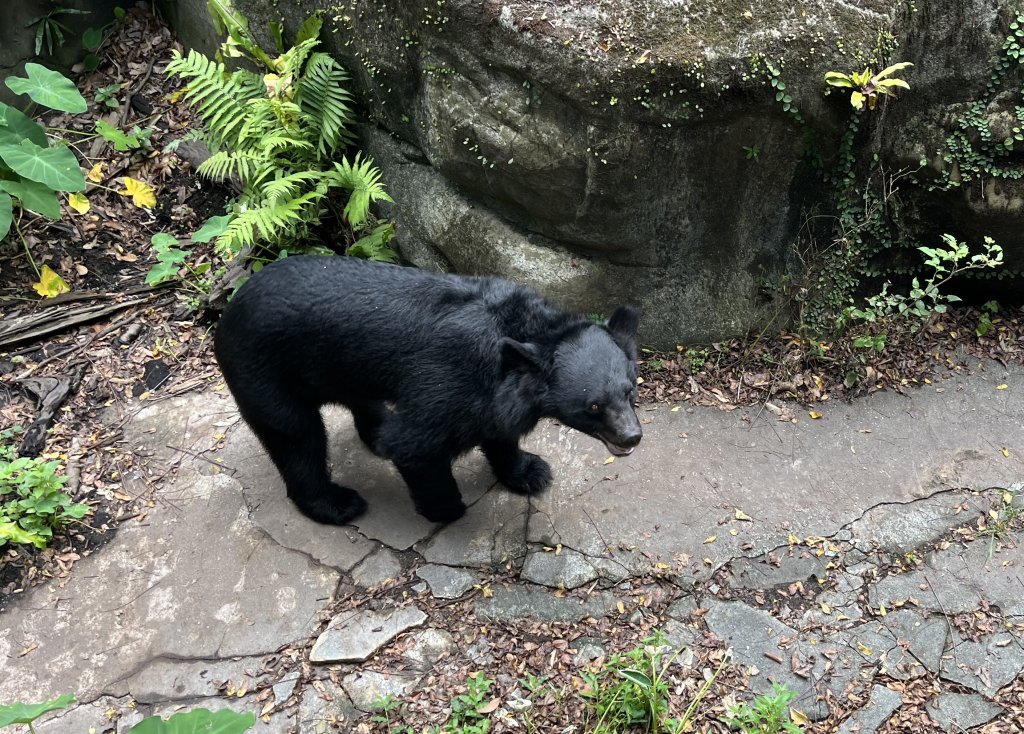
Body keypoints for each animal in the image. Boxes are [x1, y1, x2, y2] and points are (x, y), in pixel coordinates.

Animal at [215, 254, 638, 524]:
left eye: (630, 391)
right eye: (594, 406)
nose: (632, 436)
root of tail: (229, 310)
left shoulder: (496, 394)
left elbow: (499, 430)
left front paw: (530, 471)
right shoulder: (452, 377)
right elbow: (415, 443)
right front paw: (447, 508)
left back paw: (375, 433)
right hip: (263, 371)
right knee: (295, 436)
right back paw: (337, 504)